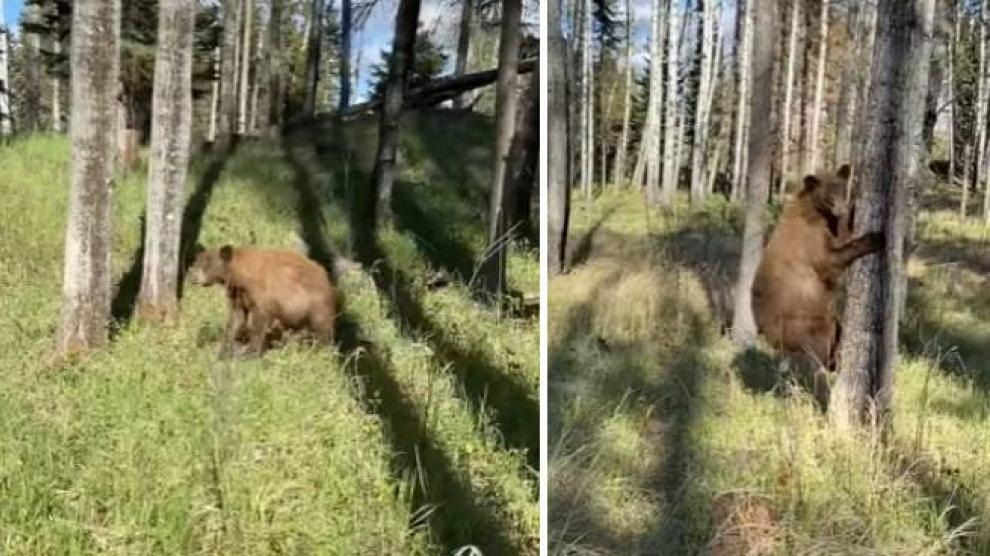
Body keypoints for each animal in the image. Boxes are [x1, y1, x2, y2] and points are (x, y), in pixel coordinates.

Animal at [188, 244, 340, 356]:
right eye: (196, 261)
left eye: (206, 263)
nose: (193, 276)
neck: (240, 274)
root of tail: (326, 277)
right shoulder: (238, 295)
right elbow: (236, 319)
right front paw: (226, 346)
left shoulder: (262, 294)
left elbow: (259, 321)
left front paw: (251, 352)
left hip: (316, 303)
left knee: (323, 328)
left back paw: (322, 350)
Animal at [756, 166, 888, 374]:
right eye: (829, 196)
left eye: (842, 190)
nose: (841, 209)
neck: (815, 211)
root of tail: (767, 338)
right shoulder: (809, 239)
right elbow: (829, 261)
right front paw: (875, 238)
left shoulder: (829, 225)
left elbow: (841, 235)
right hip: (802, 321)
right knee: (821, 341)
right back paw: (831, 365)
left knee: (836, 328)